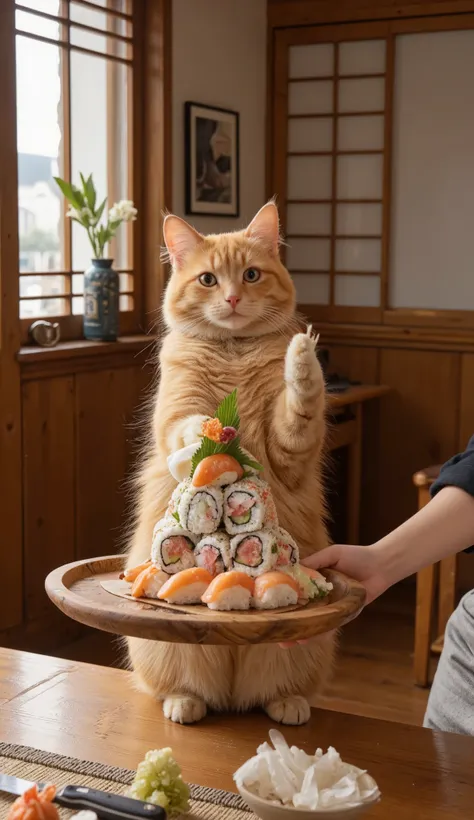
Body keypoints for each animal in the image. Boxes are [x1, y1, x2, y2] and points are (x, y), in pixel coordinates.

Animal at [126, 203, 334, 724]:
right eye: (207, 280)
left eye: (251, 275)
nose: (234, 297)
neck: (234, 351)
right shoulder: (176, 410)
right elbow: (189, 426)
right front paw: (212, 432)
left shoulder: (290, 450)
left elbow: (301, 402)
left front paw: (303, 361)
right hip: (165, 653)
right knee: (177, 688)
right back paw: (185, 703)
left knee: (276, 691)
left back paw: (287, 704)